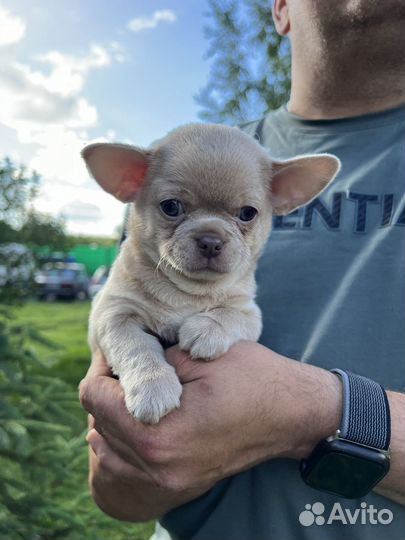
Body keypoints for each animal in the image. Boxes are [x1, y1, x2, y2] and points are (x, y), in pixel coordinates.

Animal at [80, 122, 340, 422]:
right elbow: (135, 344)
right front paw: (152, 385)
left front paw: (207, 329)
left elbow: (228, 313)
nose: (211, 240)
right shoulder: (111, 315)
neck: (188, 291)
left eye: (248, 213)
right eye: (171, 207)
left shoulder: (250, 314)